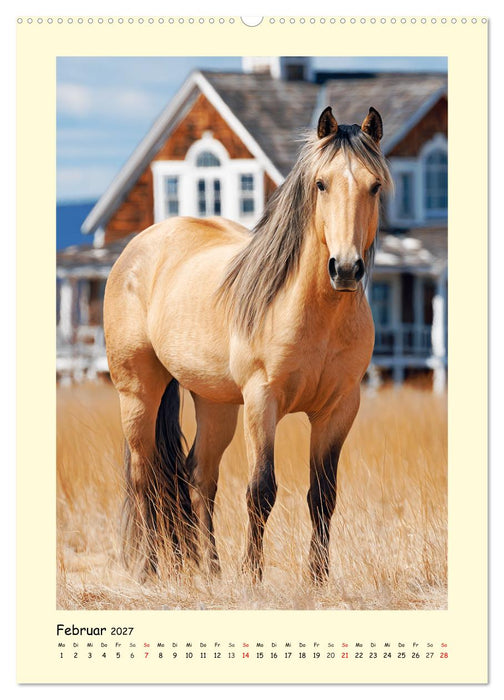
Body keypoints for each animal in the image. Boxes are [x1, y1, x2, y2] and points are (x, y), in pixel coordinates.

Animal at [104, 106, 392, 585]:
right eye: (321, 183)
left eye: (375, 185)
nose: (346, 269)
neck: (316, 313)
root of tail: (139, 247)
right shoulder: (262, 400)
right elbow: (261, 490)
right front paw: (253, 576)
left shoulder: (339, 409)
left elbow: (323, 495)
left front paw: (317, 578)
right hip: (138, 393)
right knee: (145, 477)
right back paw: (149, 569)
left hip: (215, 403)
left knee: (198, 478)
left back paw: (209, 569)